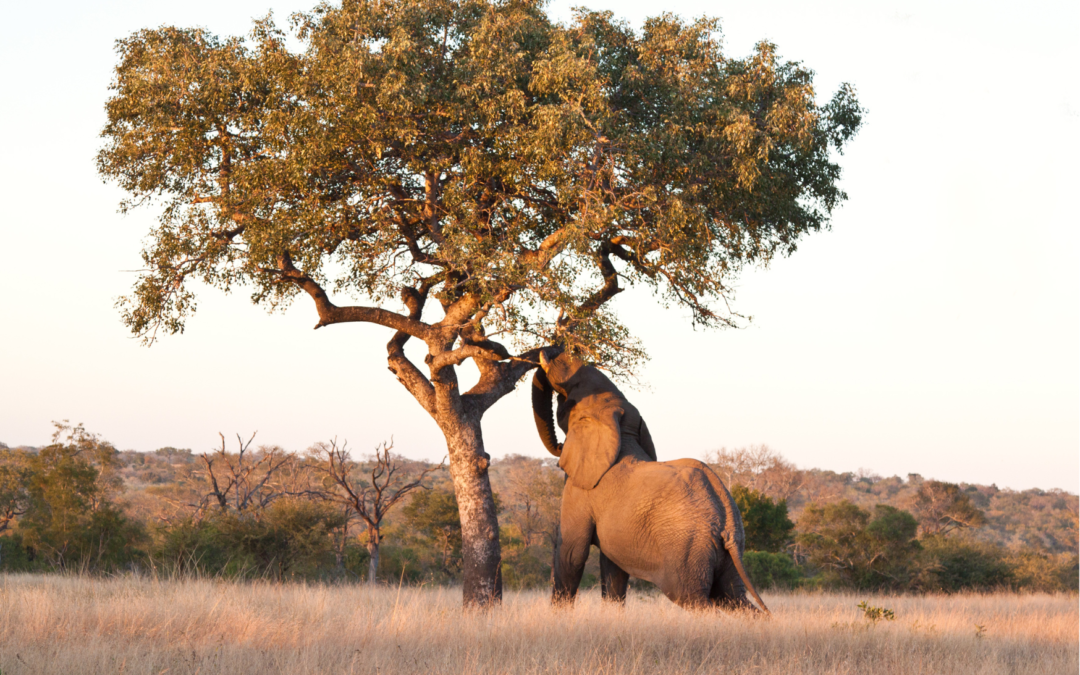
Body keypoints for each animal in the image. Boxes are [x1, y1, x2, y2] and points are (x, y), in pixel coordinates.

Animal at [531, 349, 768, 613]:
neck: (621, 430)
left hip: (688, 548)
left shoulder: (582, 489)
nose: (559, 446)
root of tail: (728, 521)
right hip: (727, 553)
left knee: (694, 599)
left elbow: (572, 553)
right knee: (733, 598)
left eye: (566, 403)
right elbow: (612, 565)